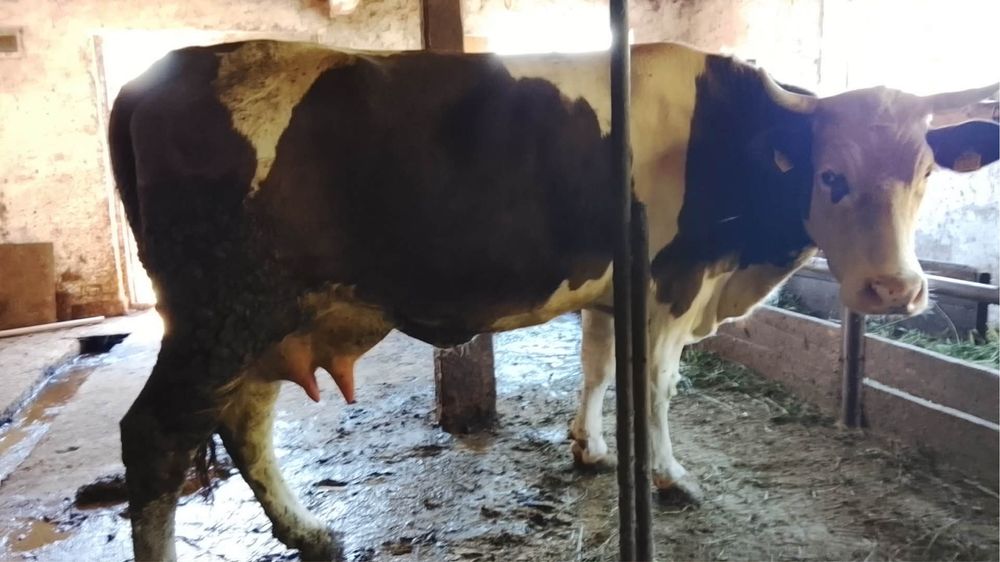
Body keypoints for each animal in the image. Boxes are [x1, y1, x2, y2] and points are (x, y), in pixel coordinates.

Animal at [108, 39, 999, 560]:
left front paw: (590, 448)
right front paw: (669, 477)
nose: (896, 290)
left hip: (261, 320)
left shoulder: (612, 292)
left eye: (924, 173)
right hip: (220, 313)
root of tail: (156, 75)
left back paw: (309, 530)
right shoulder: (670, 285)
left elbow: (600, 370)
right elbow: (658, 390)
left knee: (247, 420)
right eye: (831, 176)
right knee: (154, 435)